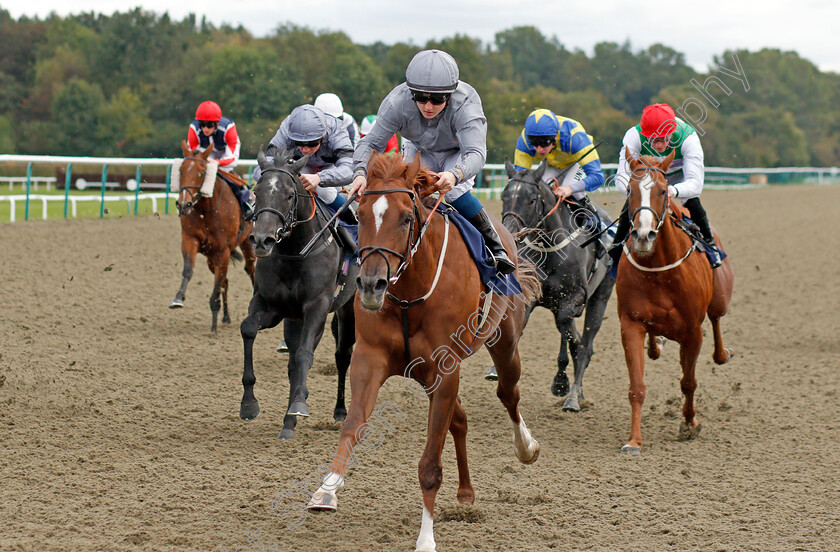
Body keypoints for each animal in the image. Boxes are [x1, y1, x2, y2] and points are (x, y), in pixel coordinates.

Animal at [167, 141, 253, 332]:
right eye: (181, 170)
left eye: (201, 172)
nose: (184, 204)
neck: (206, 210)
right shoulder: (191, 240)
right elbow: (188, 270)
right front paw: (178, 298)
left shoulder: (223, 250)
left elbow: (217, 285)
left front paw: (214, 323)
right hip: (211, 258)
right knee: (224, 281)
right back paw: (226, 317)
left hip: (247, 242)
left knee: (250, 270)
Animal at [238, 147, 356, 440]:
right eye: (257, 190)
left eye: (290, 194)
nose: (262, 240)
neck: (295, 251)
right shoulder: (270, 305)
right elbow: (248, 329)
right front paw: (249, 404)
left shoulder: (317, 306)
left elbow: (304, 355)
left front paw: (299, 404)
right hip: (294, 319)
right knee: (293, 362)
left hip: (348, 309)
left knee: (342, 356)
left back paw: (339, 411)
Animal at [308, 153, 544, 552]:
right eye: (362, 214)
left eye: (406, 217)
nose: (371, 285)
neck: (410, 292)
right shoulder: (370, 359)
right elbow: (353, 426)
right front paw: (327, 489)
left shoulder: (444, 370)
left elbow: (431, 465)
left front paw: (426, 538)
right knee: (460, 420)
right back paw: (466, 492)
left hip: (503, 343)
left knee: (507, 394)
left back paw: (526, 447)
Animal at [492, 162, 616, 412]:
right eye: (503, 196)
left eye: (532, 199)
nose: (509, 231)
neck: (551, 249)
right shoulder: (532, 295)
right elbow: (523, 324)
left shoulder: (575, 297)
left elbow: (567, 330)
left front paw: (561, 383)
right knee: (574, 338)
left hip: (601, 296)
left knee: (585, 344)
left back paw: (573, 397)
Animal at [616, 151, 736, 452]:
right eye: (629, 191)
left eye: (662, 191)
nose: (643, 236)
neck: (660, 271)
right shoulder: (630, 323)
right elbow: (637, 387)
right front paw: (633, 440)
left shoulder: (693, 331)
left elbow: (689, 382)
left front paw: (690, 424)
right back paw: (655, 345)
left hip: (719, 298)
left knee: (716, 319)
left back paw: (722, 354)